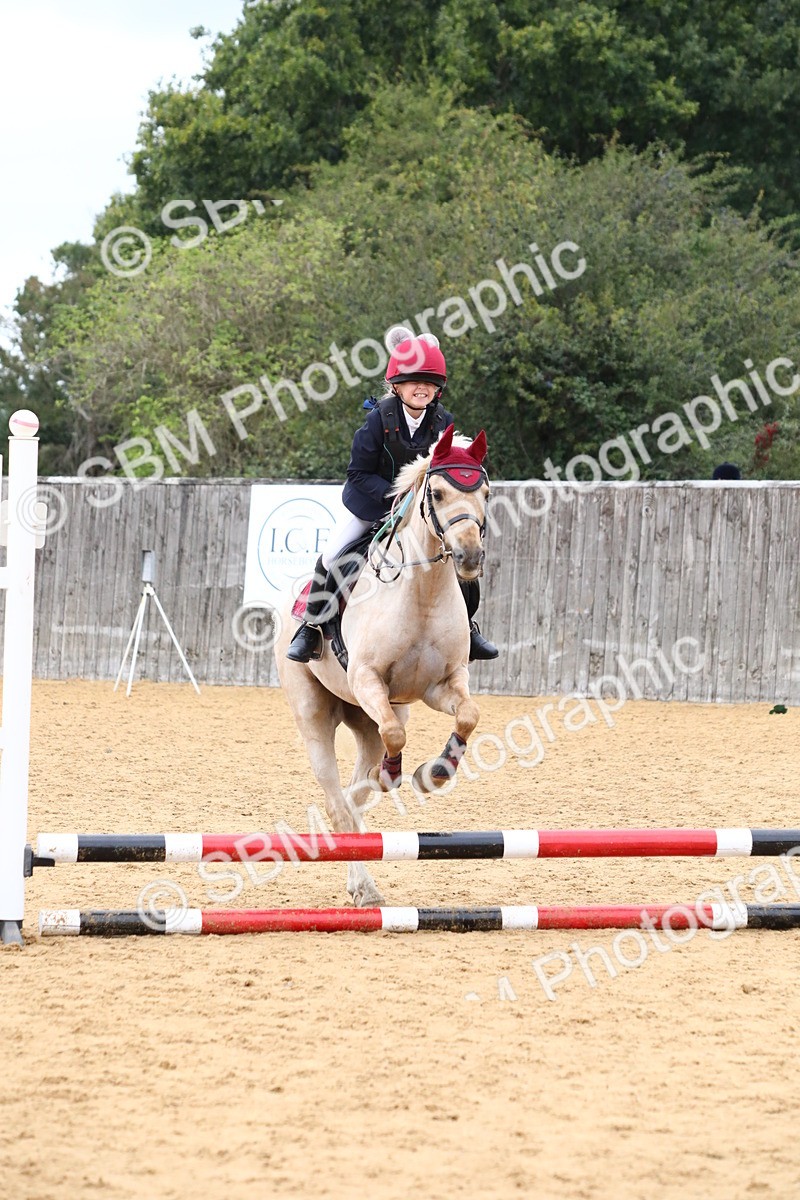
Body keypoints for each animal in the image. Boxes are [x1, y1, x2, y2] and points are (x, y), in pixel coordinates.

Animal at [276, 426, 490, 906]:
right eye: (439, 493)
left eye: (485, 493)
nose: (469, 557)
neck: (423, 590)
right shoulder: (367, 679)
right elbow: (396, 735)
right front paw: (395, 775)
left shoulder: (441, 685)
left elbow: (468, 715)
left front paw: (434, 773)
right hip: (315, 712)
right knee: (338, 802)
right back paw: (365, 882)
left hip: (364, 718)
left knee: (355, 793)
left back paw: (364, 875)